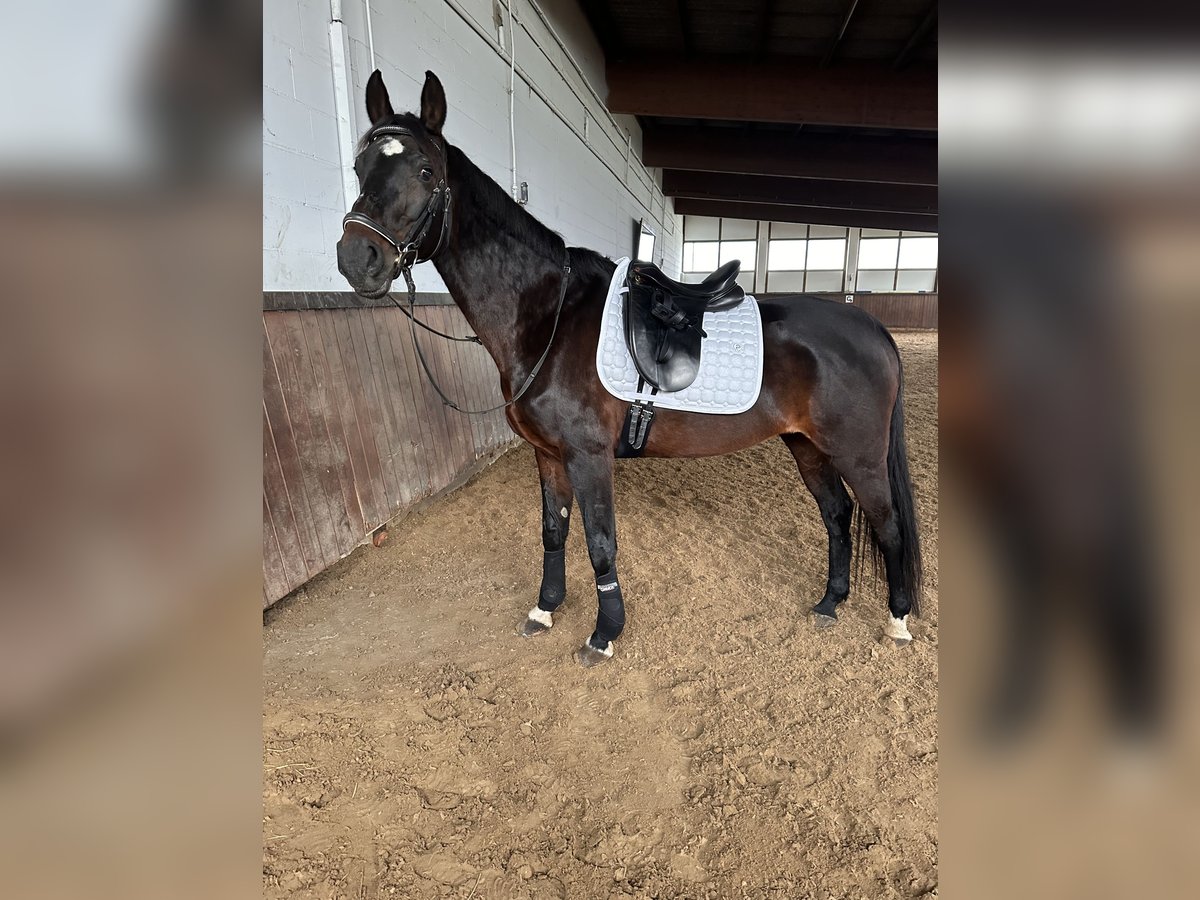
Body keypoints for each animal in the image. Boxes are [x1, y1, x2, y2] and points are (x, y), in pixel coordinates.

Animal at [338, 72, 926, 672]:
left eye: (425, 171)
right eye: (360, 167)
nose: (357, 258)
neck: (550, 317)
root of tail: (873, 329)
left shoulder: (588, 456)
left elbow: (600, 545)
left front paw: (604, 634)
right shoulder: (548, 455)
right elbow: (553, 531)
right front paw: (546, 609)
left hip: (858, 454)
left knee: (887, 525)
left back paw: (898, 620)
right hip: (807, 446)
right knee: (836, 514)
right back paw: (831, 602)